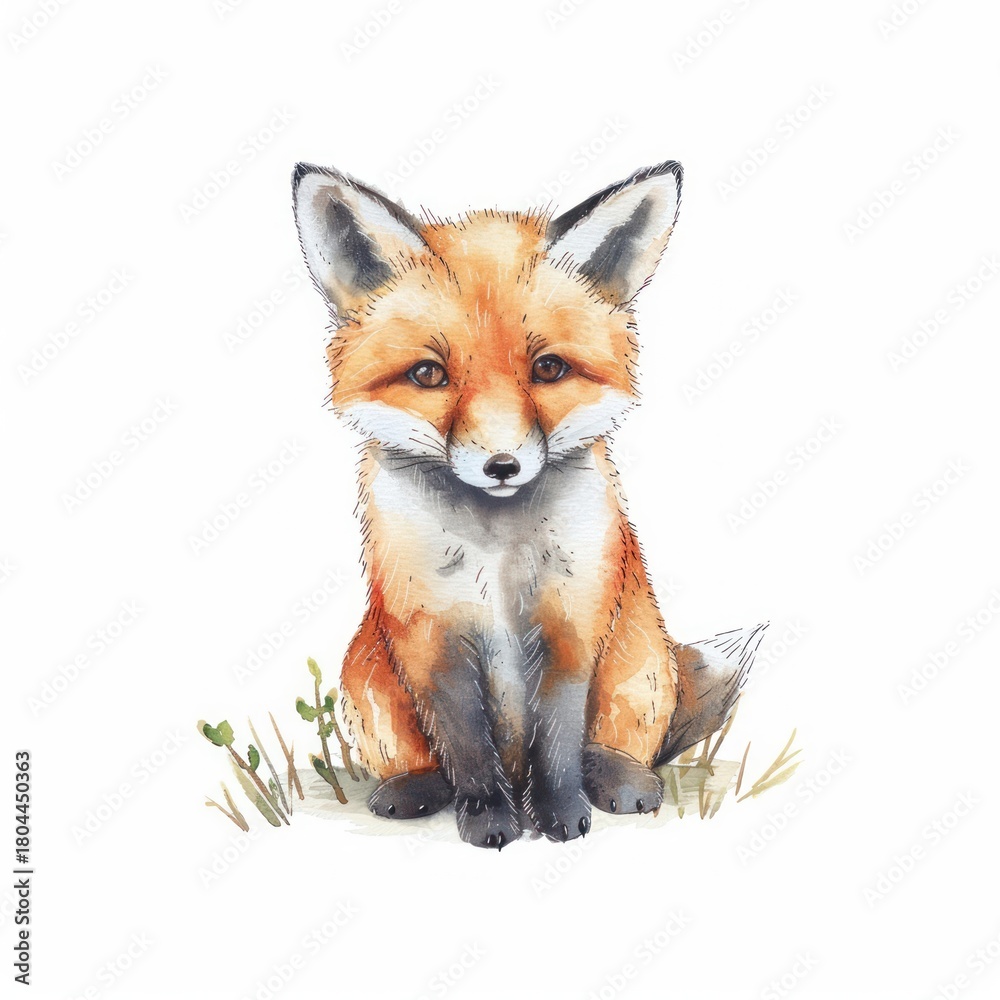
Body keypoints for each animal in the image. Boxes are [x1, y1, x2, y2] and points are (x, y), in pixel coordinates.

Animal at [292, 159, 758, 849]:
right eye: (428, 375)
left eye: (549, 368)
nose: (502, 465)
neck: (499, 556)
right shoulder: (433, 638)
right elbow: (466, 746)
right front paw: (489, 818)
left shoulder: (570, 624)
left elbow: (558, 745)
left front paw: (561, 815)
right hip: (365, 677)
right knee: (420, 757)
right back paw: (413, 788)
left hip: (643, 662)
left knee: (619, 742)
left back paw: (620, 778)